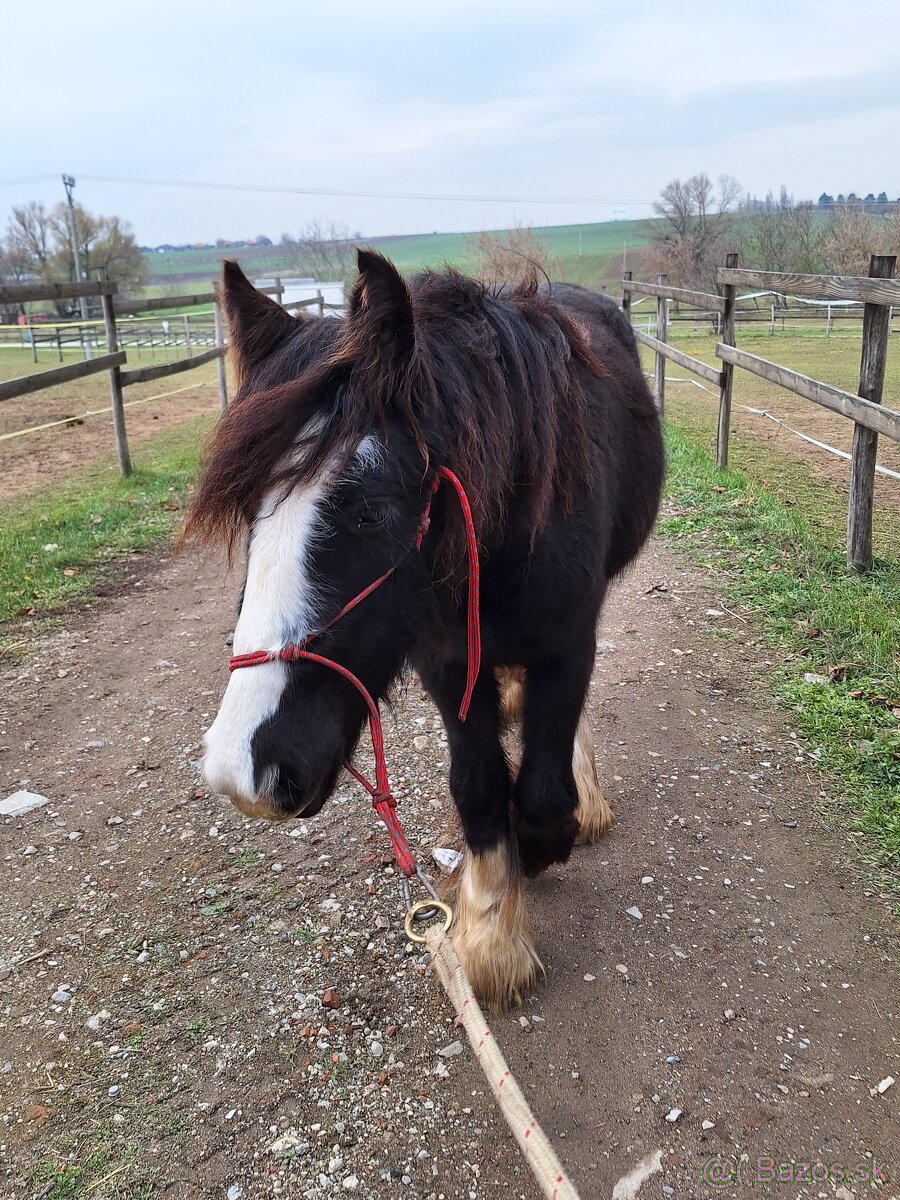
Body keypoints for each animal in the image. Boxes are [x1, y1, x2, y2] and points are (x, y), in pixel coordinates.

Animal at [187, 250, 667, 1003]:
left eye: (370, 511)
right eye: (249, 513)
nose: (244, 769)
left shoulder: (568, 644)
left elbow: (539, 793)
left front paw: (534, 858)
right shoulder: (446, 660)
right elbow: (478, 786)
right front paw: (491, 932)